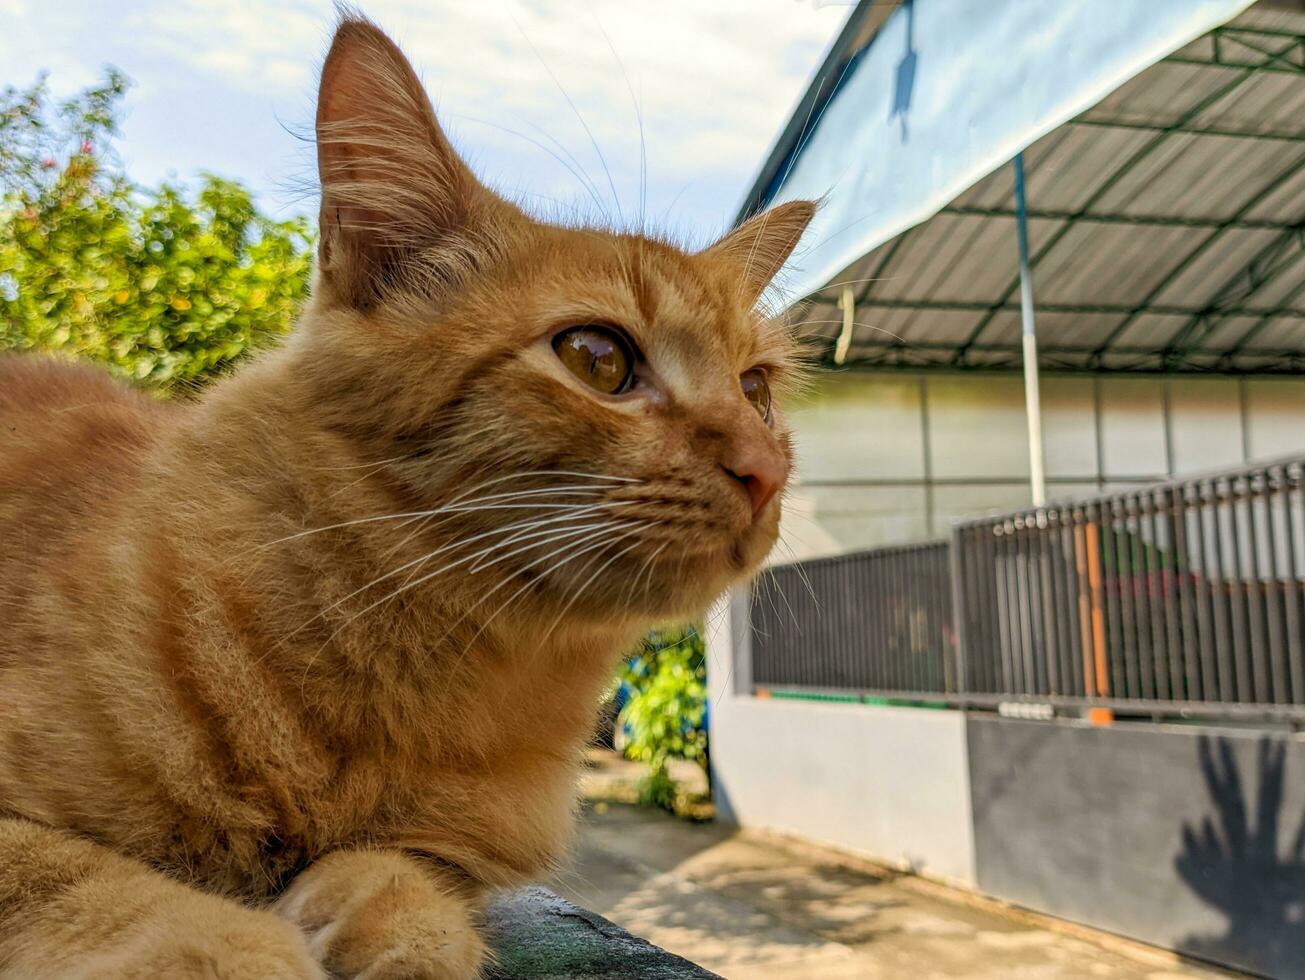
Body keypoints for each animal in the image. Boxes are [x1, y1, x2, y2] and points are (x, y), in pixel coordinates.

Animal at [0, 11, 809, 976]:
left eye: (756, 390)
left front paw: (392, 923)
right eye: (597, 359)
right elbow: (106, 888)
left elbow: (410, 876)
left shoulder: (453, 850)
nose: (763, 468)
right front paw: (242, 945)